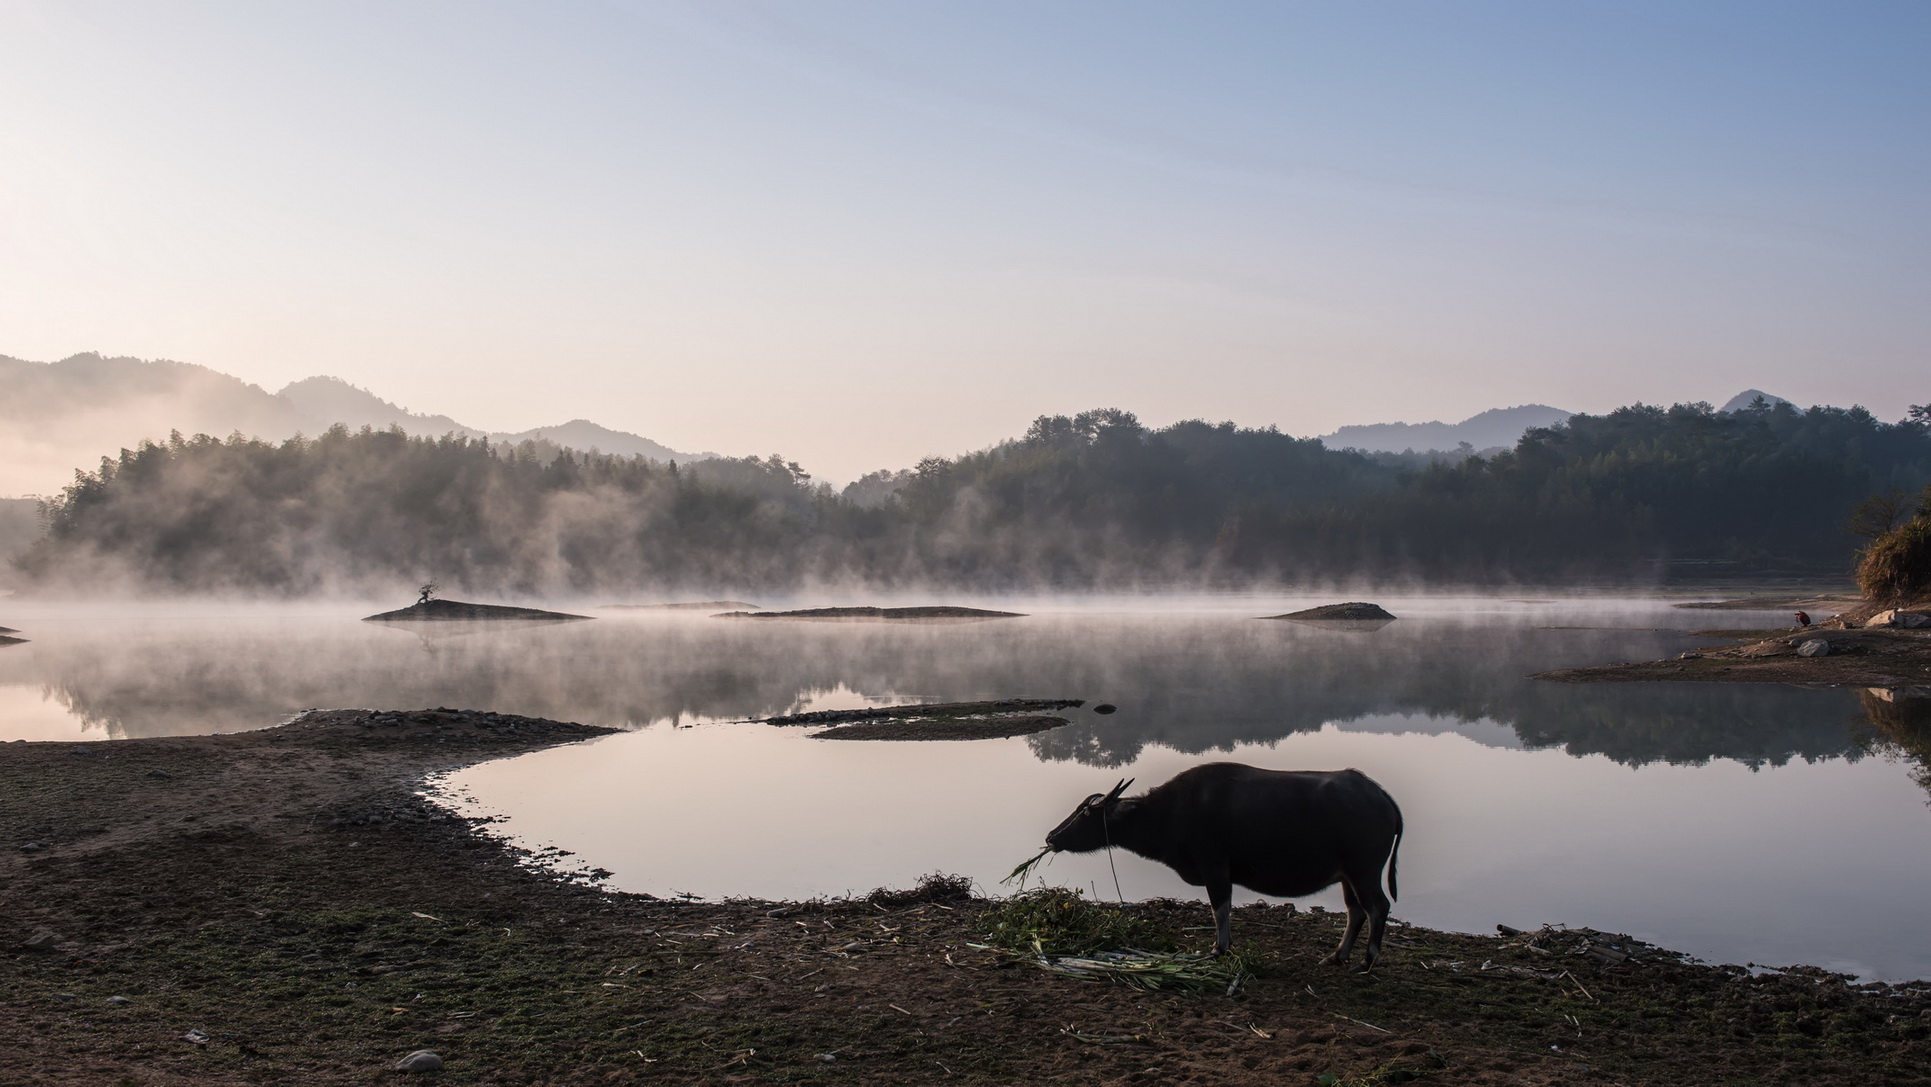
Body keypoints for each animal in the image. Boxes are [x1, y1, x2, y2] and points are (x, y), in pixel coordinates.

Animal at [1050, 764, 1398, 969]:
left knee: (1378, 907)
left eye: (1085, 813)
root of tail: (1384, 798)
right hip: (1347, 876)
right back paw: (1337, 955)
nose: (1052, 836)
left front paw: (1219, 949)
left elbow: (1220, 909)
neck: (1169, 813)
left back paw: (1367, 961)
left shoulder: (1215, 869)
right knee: (1355, 911)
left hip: (1364, 871)